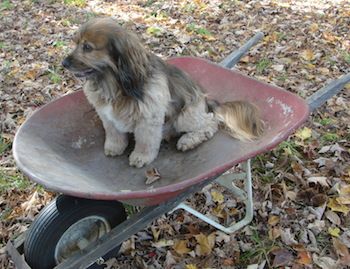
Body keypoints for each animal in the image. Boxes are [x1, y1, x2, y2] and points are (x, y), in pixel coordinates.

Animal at [63, 17, 262, 166]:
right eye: (76, 43)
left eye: (87, 47)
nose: (63, 63)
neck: (113, 84)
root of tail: (207, 101)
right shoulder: (108, 117)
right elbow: (114, 134)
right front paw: (115, 147)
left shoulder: (148, 119)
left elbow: (145, 141)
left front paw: (141, 157)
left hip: (186, 116)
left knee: (210, 123)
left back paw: (188, 140)